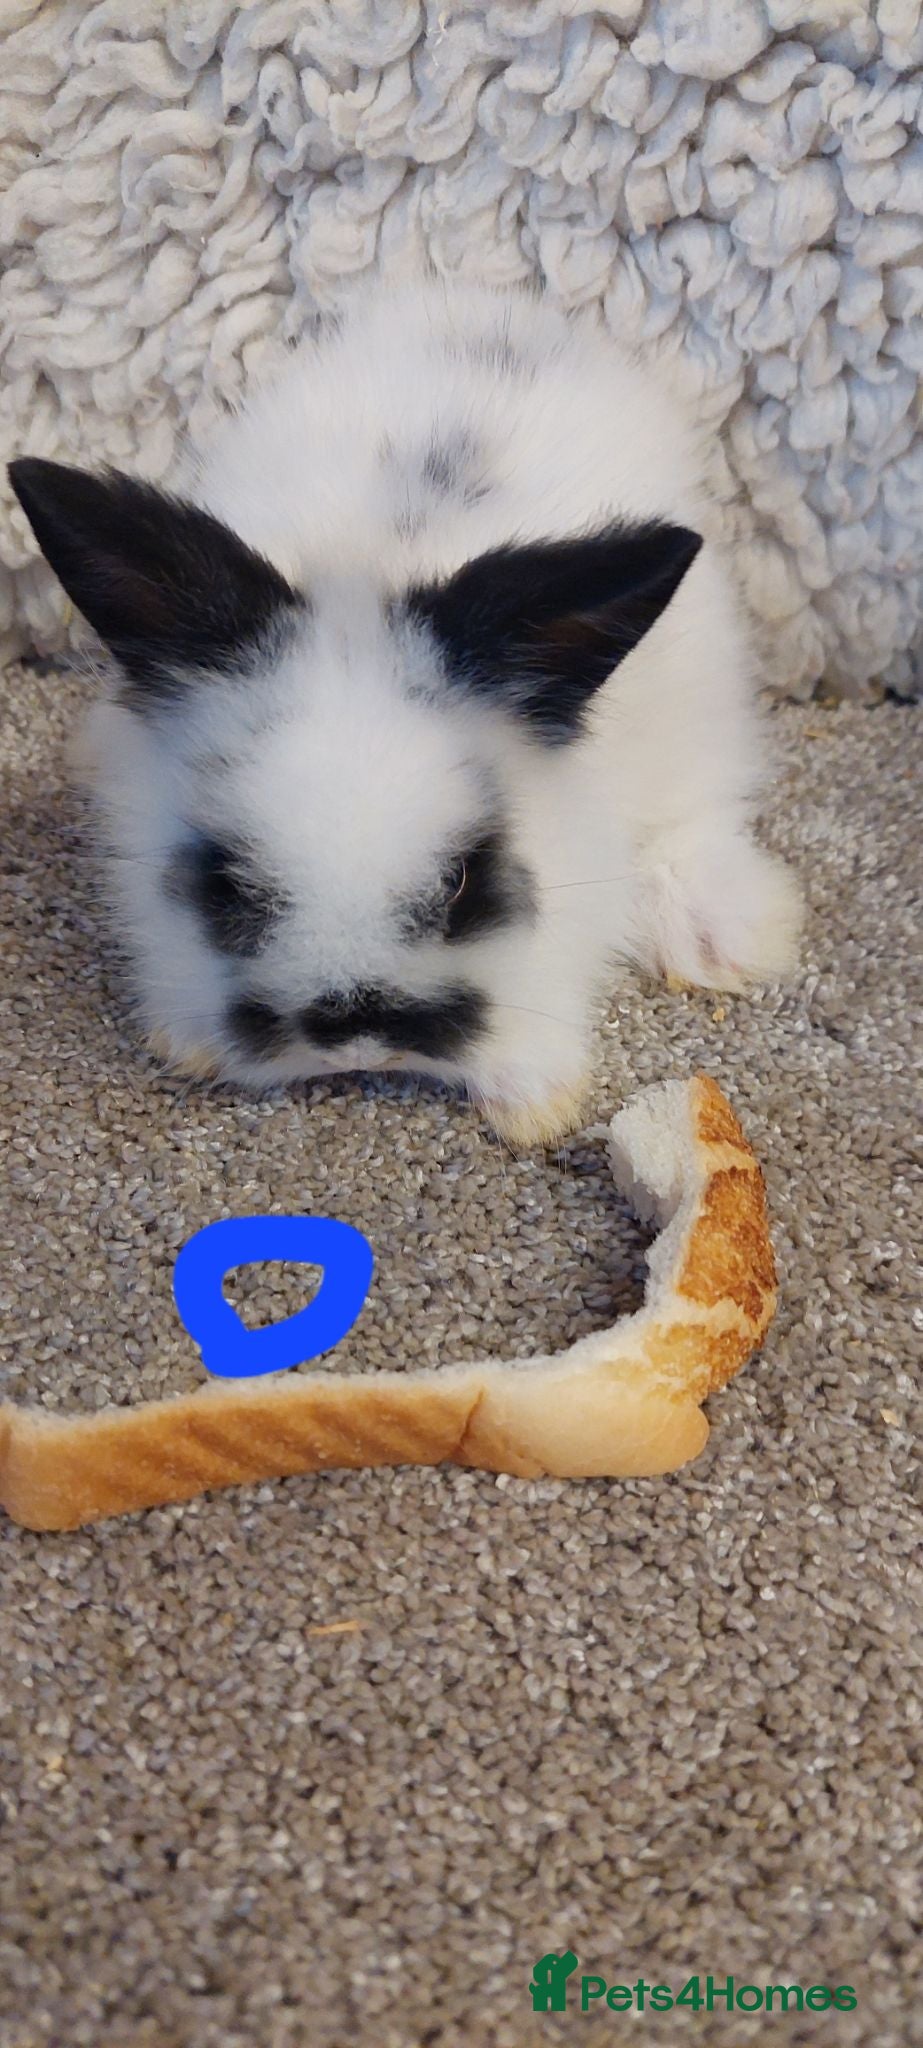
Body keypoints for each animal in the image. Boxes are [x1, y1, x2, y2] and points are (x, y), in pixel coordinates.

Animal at [9, 271, 801, 1148]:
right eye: (227, 884)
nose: (355, 1038)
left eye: (459, 880)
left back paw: (722, 936)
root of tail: (488, 309)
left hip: (700, 696)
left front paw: (533, 1100)